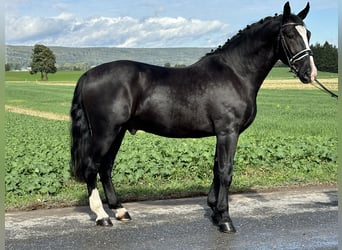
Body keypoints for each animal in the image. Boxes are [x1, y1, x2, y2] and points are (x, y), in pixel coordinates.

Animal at [70, 1, 318, 232]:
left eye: (308, 34)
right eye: (289, 34)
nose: (310, 73)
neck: (235, 73)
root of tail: (88, 74)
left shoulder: (222, 133)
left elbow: (217, 169)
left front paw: (215, 212)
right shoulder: (228, 132)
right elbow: (226, 172)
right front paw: (225, 220)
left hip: (118, 131)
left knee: (106, 167)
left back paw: (120, 211)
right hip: (105, 132)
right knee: (92, 167)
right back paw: (102, 216)